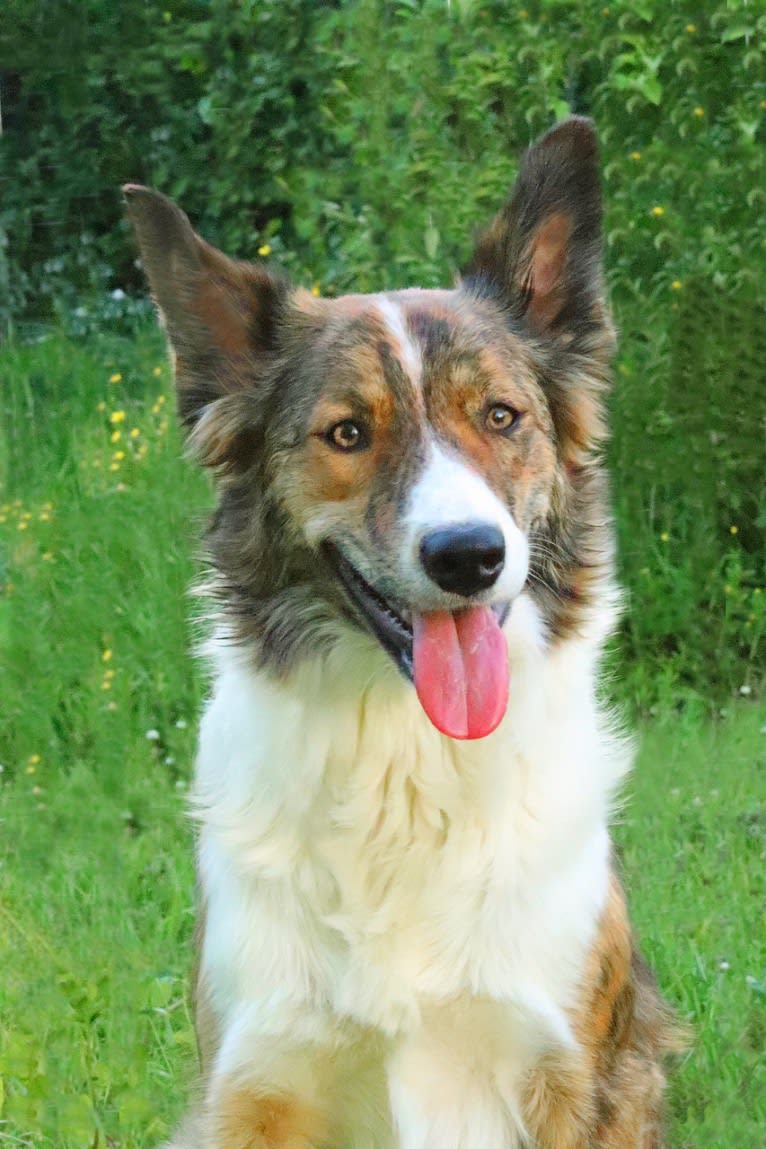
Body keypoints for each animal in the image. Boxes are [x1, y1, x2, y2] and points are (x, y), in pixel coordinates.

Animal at [125, 116, 675, 1149]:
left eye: (501, 416)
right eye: (348, 433)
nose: (469, 556)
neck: (407, 762)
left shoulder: (572, 1073)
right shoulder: (260, 1078)